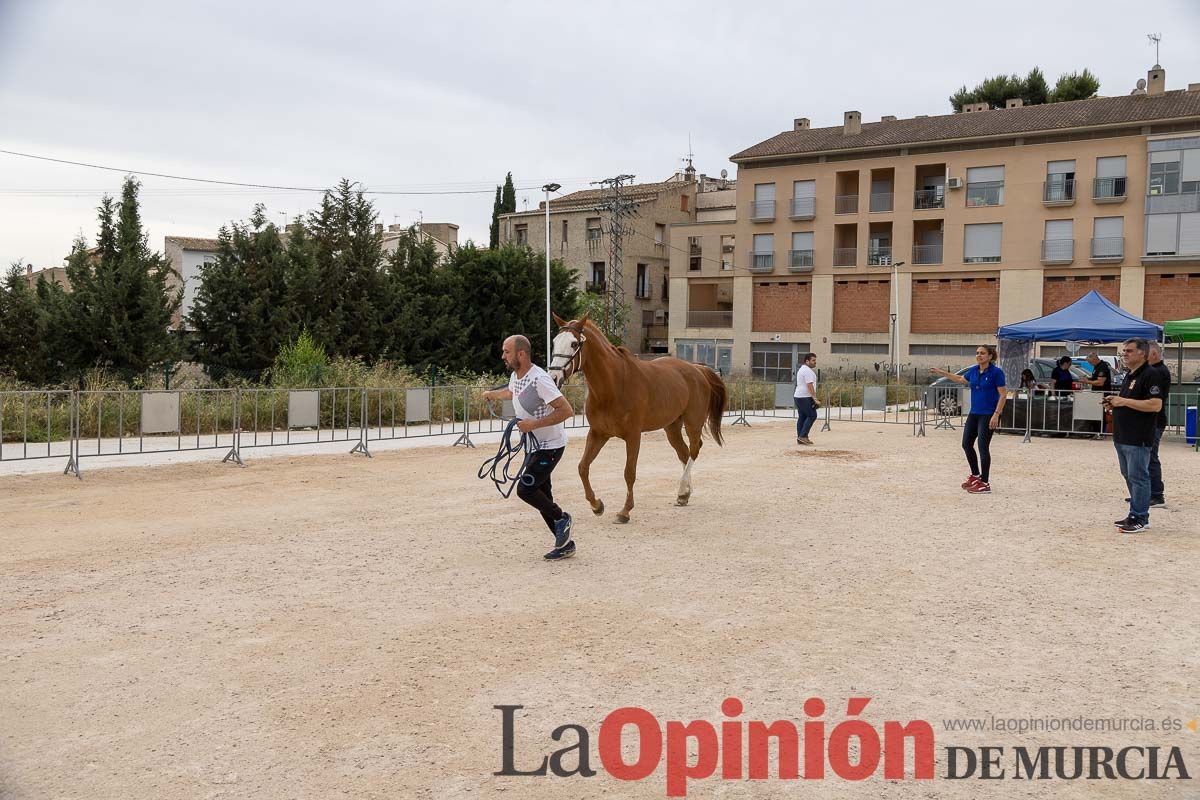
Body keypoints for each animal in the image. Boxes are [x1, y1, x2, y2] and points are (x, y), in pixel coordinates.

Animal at [549, 311, 724, 525]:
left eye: (574, 344)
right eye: (554, 342)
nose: (553, 377)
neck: (613, 386)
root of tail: (697, 369)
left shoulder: (633, 436)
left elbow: (629, 472)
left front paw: (624, 511)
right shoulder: (598, 433)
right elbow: (583, 467)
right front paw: (597, 505)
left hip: (693, 423)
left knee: (694, 449)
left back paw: (683, 489)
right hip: (672, 427)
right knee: (683, 452)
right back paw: (683, 495)